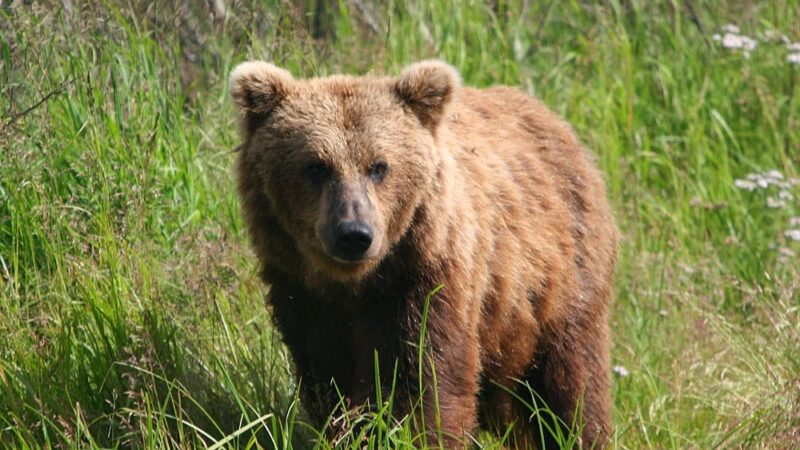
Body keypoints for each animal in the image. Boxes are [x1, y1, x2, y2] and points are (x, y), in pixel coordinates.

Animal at [229, 60, 619, 449]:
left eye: (379, 166)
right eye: (316, 166)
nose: (354, 234)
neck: (358, 285)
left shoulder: (425, 282)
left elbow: (423, 379)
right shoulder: (303, 294)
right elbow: (328, 378)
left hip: (557, 284)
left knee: (570, 383)